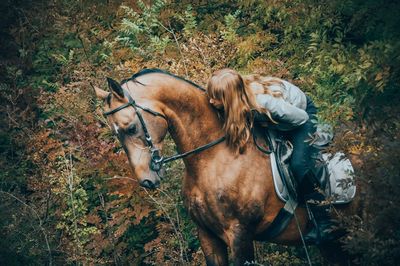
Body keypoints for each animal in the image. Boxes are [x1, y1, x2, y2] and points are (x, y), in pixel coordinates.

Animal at [95, 69, 358, 264]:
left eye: (130, 128)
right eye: (115, 134)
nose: (146, 180)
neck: (213, 157)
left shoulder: (240, 234)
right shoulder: (208, 236)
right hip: (335, 244)